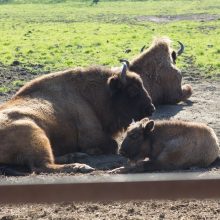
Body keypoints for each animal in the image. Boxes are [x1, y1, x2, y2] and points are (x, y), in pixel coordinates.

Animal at [0, 63, 155, 175]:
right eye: (132, 90)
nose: (151, 109)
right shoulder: (92, 136)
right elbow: (113, 145)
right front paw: (93, 151)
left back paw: (76, 156)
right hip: (35, 133)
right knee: (43, 166)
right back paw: (81, 166)